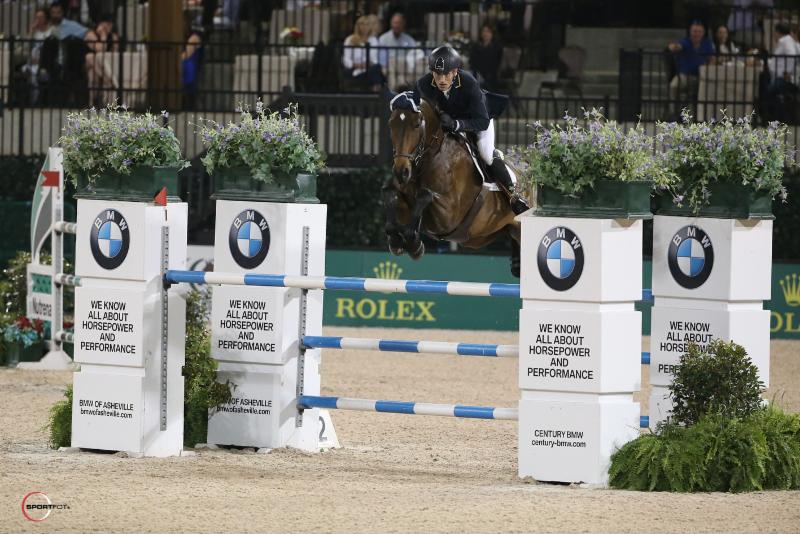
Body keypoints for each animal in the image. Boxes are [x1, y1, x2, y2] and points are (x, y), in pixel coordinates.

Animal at [385, 98, 522, 276]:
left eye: (416, 124)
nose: (401, 172)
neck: (432, 157)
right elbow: (392, 196)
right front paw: (397, 241)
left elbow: (425, 195)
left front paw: (413, 244)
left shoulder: (449, 217)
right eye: (391, 124)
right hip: (481, 237)